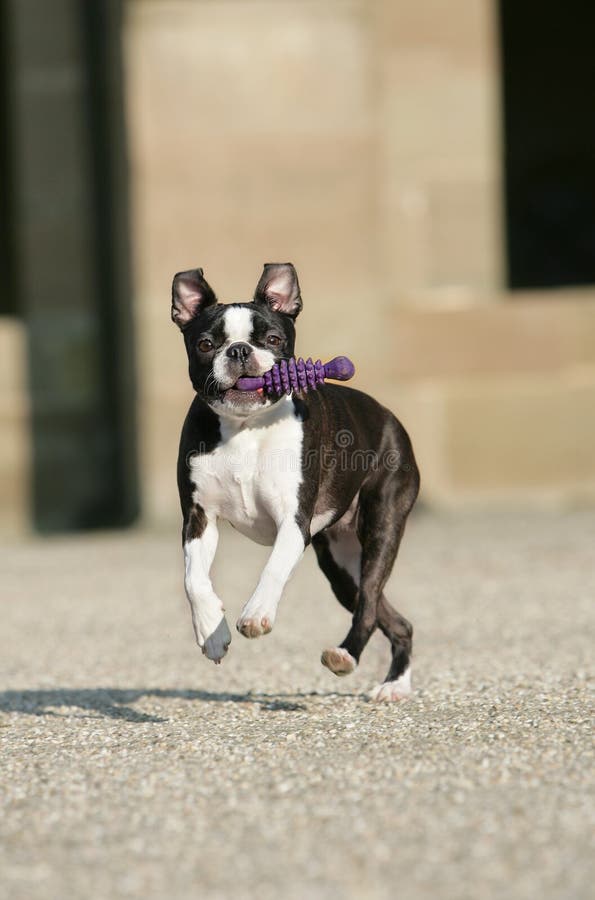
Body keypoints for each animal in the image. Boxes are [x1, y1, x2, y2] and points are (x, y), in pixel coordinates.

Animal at [172, 264, 422, 700]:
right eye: (206, 344)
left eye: (273, 339)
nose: (239, 351)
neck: (246, 426)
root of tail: (390, 417)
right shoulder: (198, 519)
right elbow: (194, 579)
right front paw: (212, 633)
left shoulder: (293, 522)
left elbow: (273, 568)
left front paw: (256, 613)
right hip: (340, 566)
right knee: (389, 615)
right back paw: (394, 682)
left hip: (382, 526)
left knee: (369, 604)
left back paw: (350, 658)